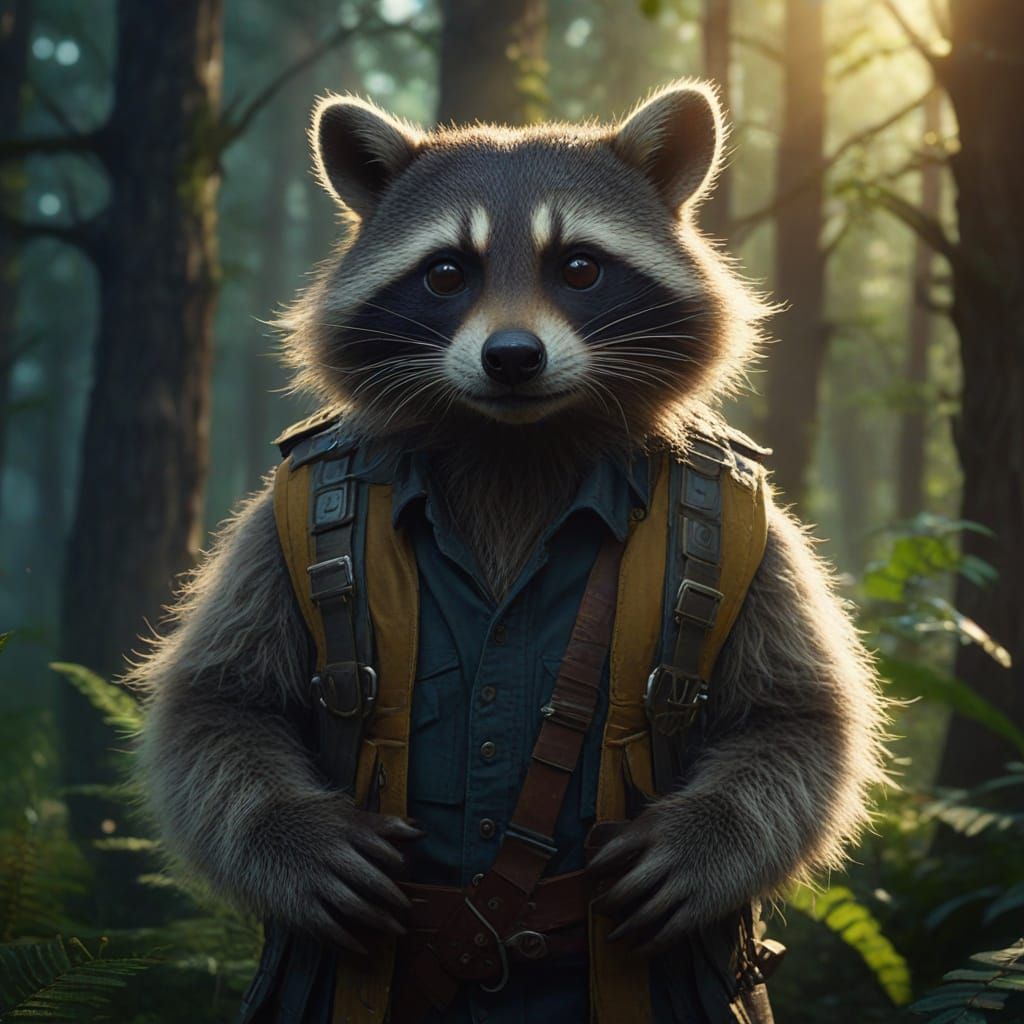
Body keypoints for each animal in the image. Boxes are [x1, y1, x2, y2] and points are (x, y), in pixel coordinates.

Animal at [133, 81, 887, 1023]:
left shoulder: (760, 532)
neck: (514, 443)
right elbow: (217, 704)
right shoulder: (274, 529)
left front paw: (705, 838)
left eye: (579, 267)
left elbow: (802, 717)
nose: (513, 358)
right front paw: (295, 837)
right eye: (447, 273)